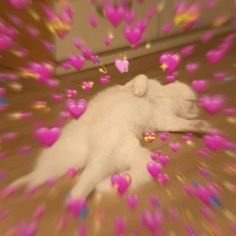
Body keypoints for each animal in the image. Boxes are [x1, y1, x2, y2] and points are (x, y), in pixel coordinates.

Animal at [10, 74, 209, 199]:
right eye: (194, 105)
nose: (197, 111)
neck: (164, 98)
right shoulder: (133, 87)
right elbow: (141, 78)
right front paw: (139, 90)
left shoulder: (164, 120)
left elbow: (181, 124)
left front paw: (202, 127)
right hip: (68, 159)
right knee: (40, 178)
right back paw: (18, 188)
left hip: (103, 157)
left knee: (75, 184)